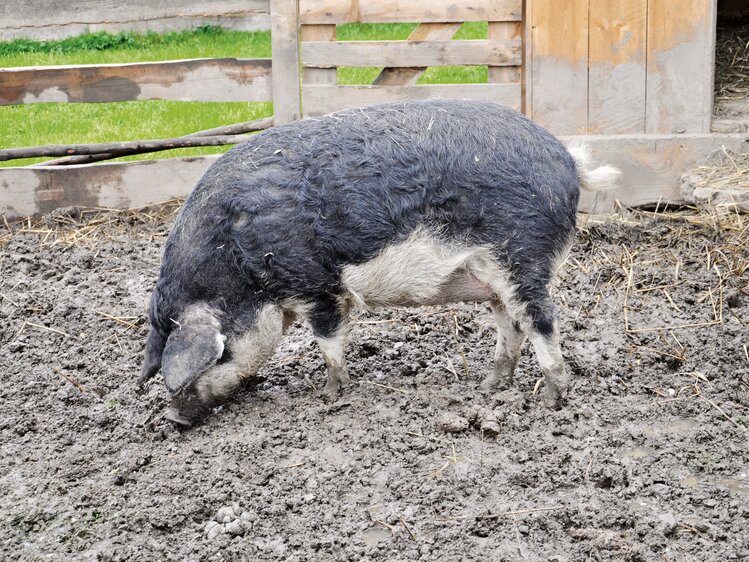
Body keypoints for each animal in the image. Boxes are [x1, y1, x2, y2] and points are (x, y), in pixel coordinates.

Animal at [140, 98, 620, 422]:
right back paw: (489, 385)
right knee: (511, 325)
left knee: (542, 321)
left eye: (218, 357)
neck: (239, 264)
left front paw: (329, 394)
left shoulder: (317, 285)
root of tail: (568, 161)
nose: (173, 418)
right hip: (493, 276)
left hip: (523, 256)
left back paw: (551, 400)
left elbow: (329, 341)